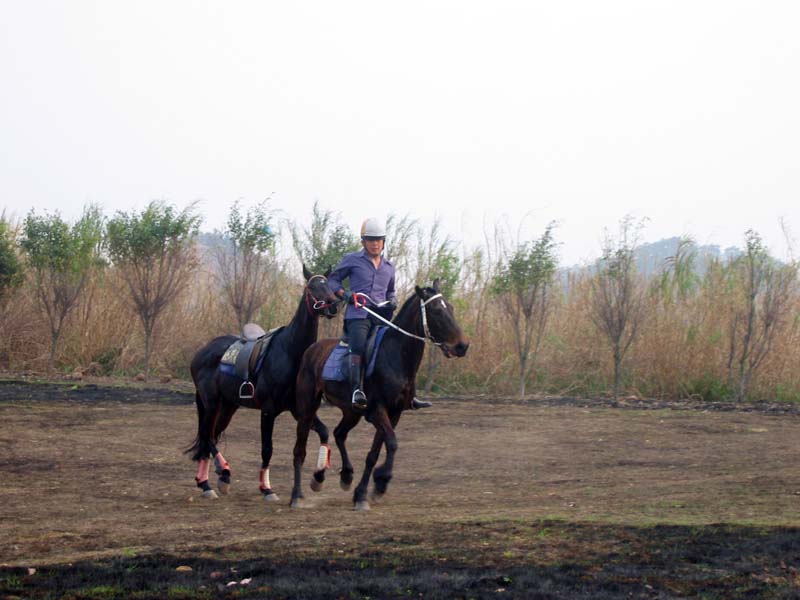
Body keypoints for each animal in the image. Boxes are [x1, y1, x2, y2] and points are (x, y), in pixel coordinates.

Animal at [186, 268, 340, 502]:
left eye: (329, 285)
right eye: (312, 287)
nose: (333, 305)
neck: (290, 352)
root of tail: (202, 352)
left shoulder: (299, 410)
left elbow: (324, 432)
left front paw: (318, 477)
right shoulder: (268, 411)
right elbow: (267, 449)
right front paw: (267, 489)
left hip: (228, 406)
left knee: (210, 436)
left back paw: (206, 484)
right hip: (211, 403)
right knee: (207, 435)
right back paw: (223, 473)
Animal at [292, 282, 468, 510]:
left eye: (452, 308)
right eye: (436, 310)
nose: (463, 346)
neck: (395, 355)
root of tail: (311, 350)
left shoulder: (394, 413)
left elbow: (374, 453)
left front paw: (362, 493)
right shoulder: (377, 411)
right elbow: (392, 443)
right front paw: (381, 482)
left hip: (351, 412)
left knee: (339, 434)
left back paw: (345, 475)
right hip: (307, 408)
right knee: (300, 450)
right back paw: (297, 495)